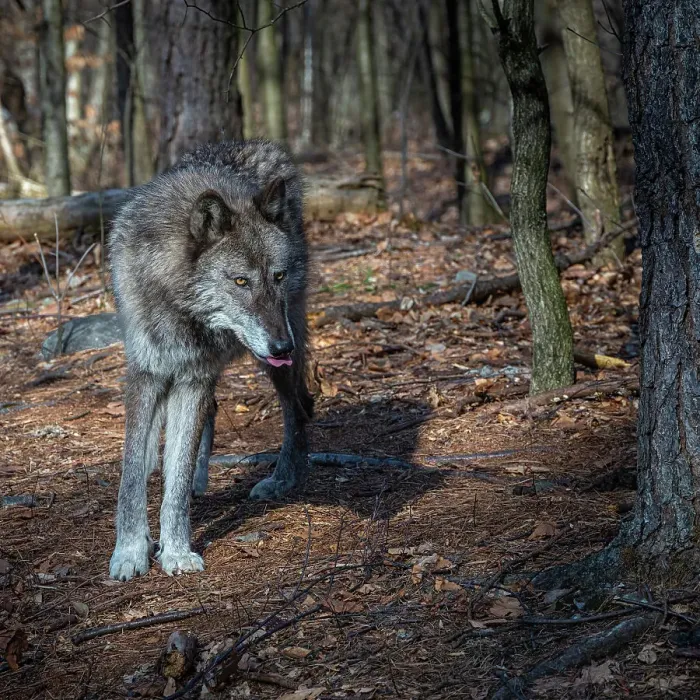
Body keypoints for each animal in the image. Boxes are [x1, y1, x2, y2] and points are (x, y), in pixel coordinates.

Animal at [108, 140, 314, 581]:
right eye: (240, 281)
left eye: (278, 276)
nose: (282, 346)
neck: (180, 308)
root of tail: (255, 145)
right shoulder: (147, 374)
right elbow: (134, 470)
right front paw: (131, 550)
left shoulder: (195, 379)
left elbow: (177, 476)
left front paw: (176, 552)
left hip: (275, 362)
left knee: (299, 406)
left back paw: (284, 477)